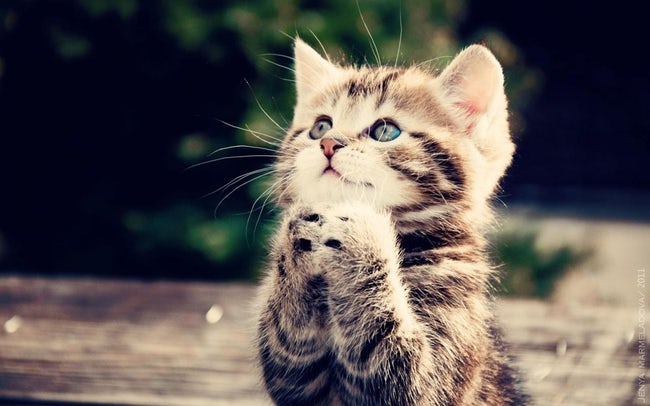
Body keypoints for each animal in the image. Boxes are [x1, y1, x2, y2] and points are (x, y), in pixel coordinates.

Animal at [253, 38, 528, 406]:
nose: (328, 142)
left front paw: (361, 233)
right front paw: (297, 242)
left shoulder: (432, 374)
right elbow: (288, 344)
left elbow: (399, 367)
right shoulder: (298, 382)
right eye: (320, 127)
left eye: (385, 131)